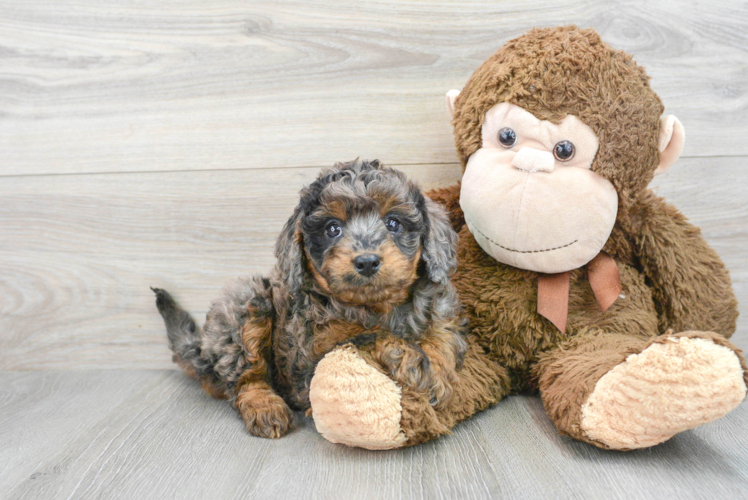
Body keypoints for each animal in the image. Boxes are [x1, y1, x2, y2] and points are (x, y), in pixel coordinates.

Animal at [153, 159, 468, 438]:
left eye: (393, 223)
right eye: (332, 228)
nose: (366, 261)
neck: (376, 306)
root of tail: (204, 349)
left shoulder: (442, 313)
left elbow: (441, 339)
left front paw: (437, 376)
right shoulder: (312, 358)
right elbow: (366, 336)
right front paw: (413, 361)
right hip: (246, 302)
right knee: (244, 377)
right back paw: (265, 407)